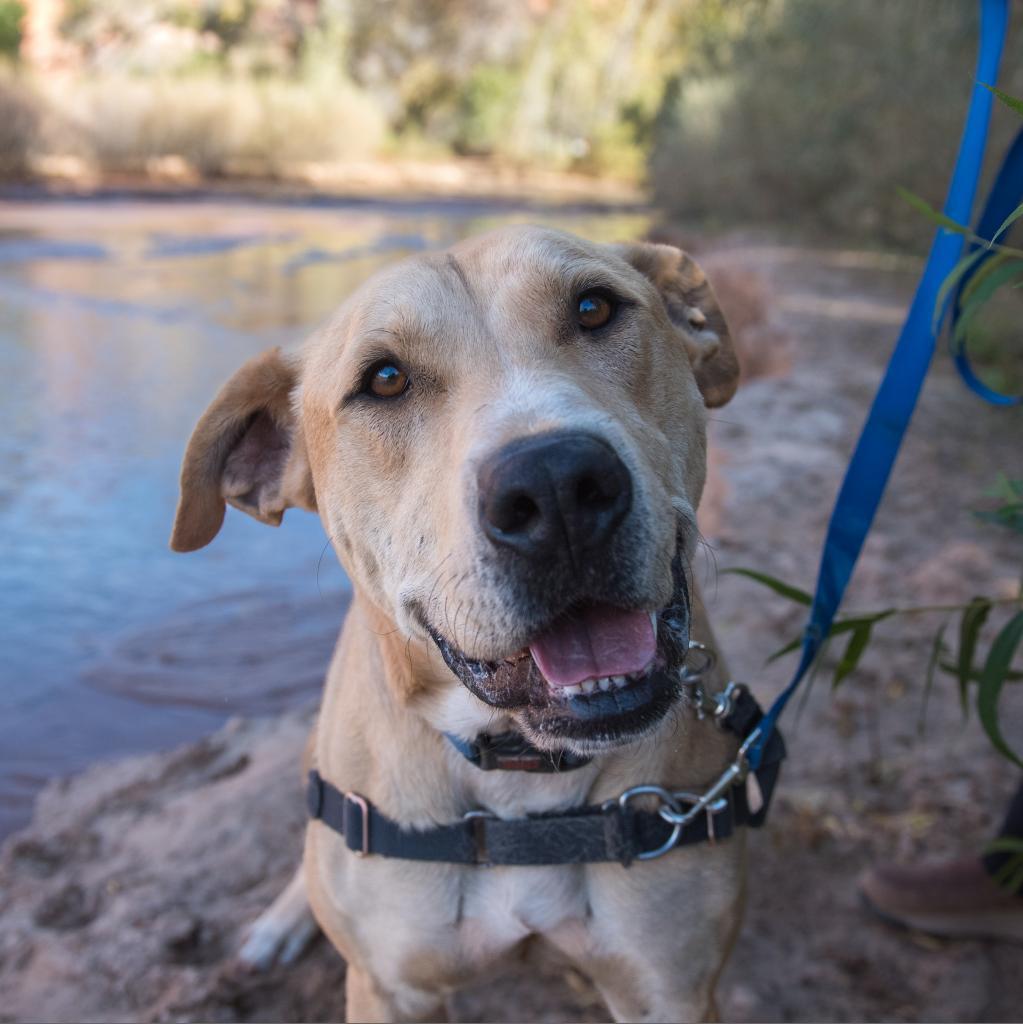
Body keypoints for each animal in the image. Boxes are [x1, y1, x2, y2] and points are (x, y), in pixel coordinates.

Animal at [174, 226, 753, 1024]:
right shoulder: (390, 989)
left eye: (595, 308)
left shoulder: (673, 988)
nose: (555, 486)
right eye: (384, 380)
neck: (519, 774)